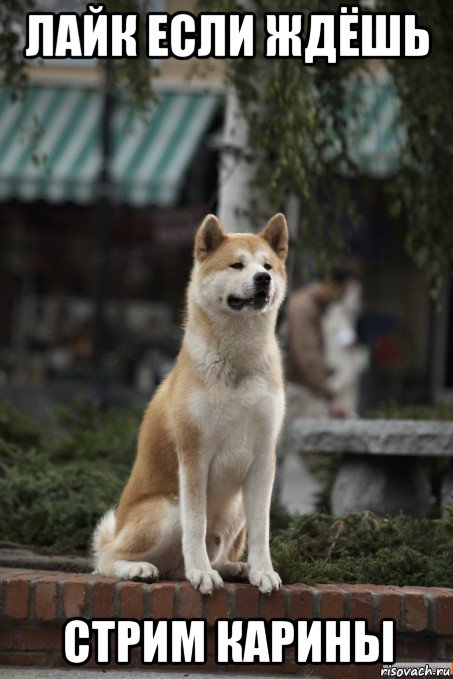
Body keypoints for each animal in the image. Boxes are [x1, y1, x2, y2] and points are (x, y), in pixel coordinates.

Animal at [93, 214, 288, 596]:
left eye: (268, 265)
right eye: (237, 265)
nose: (264, 279)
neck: (238, 364)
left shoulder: (263, 457)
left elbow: (263, 529)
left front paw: (263, 571)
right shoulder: (194, 453)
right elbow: (195, 525)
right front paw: (201, 573)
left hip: (236, 509)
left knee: (203, 558)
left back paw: (235, 568)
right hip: (167, 508)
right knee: (107, 560)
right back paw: (142, 568)